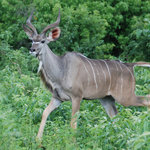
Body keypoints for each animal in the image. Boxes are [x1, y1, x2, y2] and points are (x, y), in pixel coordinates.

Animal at [22, 9, 149, 140]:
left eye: (42, 41)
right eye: (32, 40)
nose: (32, 50)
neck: (62, 69)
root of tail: (129, 66)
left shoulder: (77, 97)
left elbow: (73, 123)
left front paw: (72, 142)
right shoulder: (57, 98)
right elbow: (45, 112)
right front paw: (38, 140)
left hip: (125, 97)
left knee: (145, 100)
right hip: (107, 99)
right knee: (115, 117)